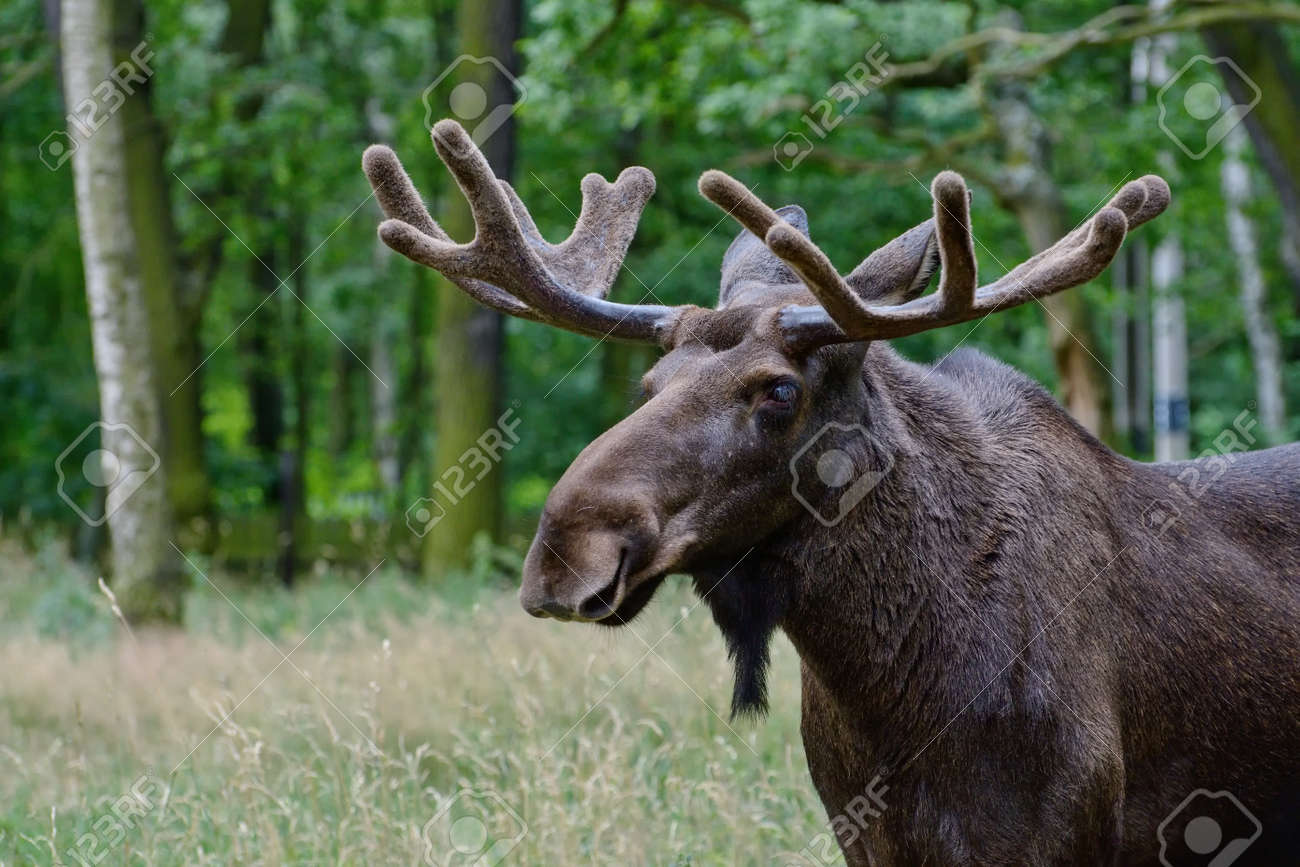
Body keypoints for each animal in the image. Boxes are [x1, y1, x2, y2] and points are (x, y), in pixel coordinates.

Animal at [363, 120, 1300, 866]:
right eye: (651, 383)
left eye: (779, 389)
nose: (564, 551)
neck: (894, 697)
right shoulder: (868, 839)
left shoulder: (1063, 835)